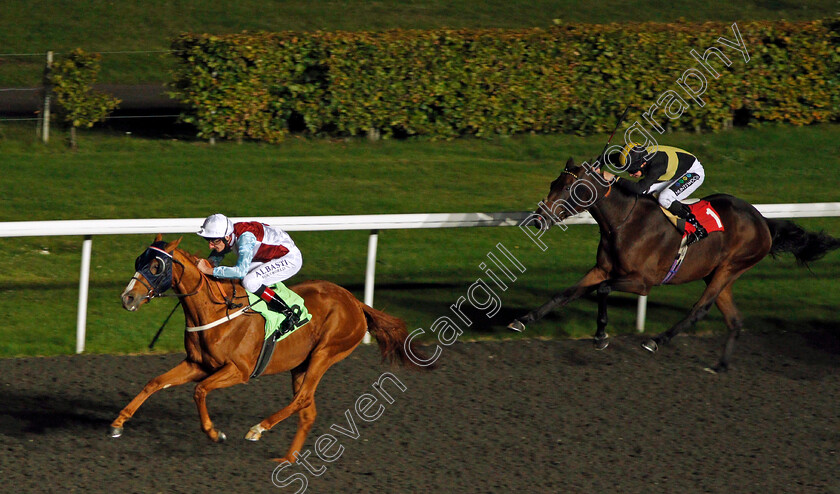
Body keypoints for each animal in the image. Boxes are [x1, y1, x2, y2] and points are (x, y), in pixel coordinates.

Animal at [115, 233, 430, 462]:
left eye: (156, 266)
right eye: (138, 261)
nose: (127, 298)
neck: (215, 310)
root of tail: (356, 302)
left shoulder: (239, 370)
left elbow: (200, 390)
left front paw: (214, 433)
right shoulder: (197, 364)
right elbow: (155, 382)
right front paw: (119, 421)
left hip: (326, 353)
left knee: (302, 399)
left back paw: (258, 429)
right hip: (301, 365)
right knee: (307, 410)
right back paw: (288, 460)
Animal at [508, 158, 836, 370]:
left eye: (569, 189)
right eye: (554, 183)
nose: (537, 219)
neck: (624, 222)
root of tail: (764, 221)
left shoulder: (642, 282)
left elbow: (603, 291)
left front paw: (601, 337)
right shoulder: (601, 269)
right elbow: (564, 294)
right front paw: (522, 320)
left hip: (730, 268)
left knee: (699, 309)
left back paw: (656, 340)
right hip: (717, 274)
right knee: (734, 320)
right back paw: (720, 366)